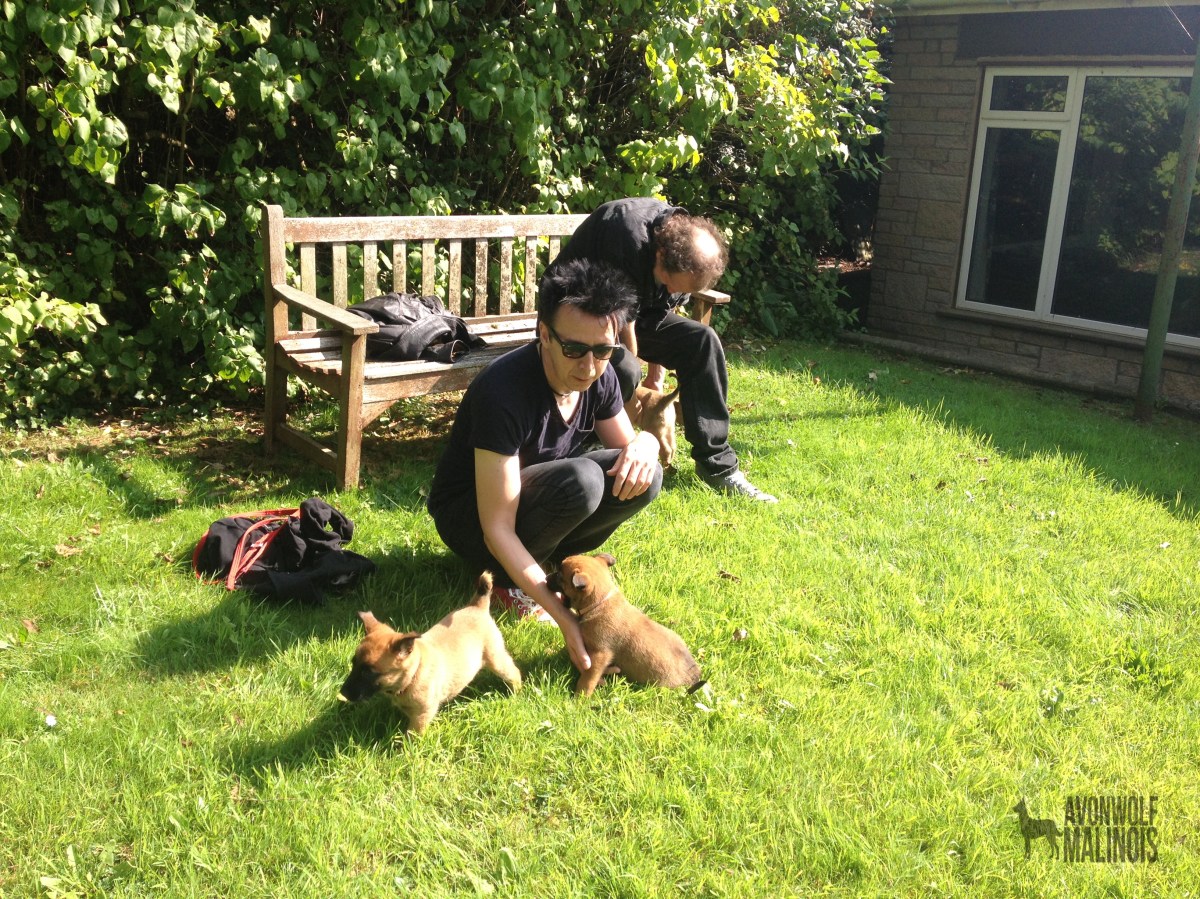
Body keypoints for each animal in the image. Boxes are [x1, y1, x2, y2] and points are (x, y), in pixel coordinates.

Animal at [339, 572, 522, 735]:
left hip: (496, 659)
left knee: (514, 672)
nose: (343, 693)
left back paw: (516, 692)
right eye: (353, 664)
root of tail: (477, 606)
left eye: (368, 672)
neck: (414, 673)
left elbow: (411, 737)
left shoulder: (422, 715)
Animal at [549, 553, 703, 697]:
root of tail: (694, 676)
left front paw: (580, 697)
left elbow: (587, 678)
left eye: (560, 576)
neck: (600, 603)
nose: (546, 579)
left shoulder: (599, 654)